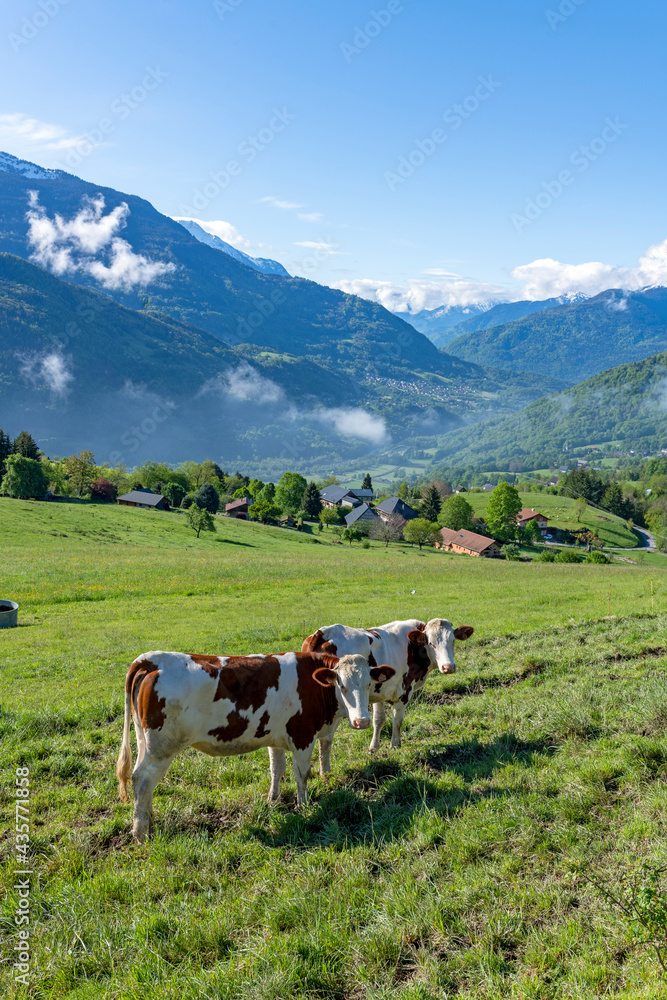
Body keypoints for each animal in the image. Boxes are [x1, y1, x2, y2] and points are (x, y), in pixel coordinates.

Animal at [117, 652, 394, 840]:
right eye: (342, 685)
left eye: (369, 684)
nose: (361, 721)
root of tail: (153, 659)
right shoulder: (303, 736)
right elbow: (302, 774)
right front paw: (304, 806)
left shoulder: (276, 737)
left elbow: (277, 769)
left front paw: (273, 801)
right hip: (161, 750)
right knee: (142, 780)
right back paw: (141, 833)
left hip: (145, 743)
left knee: (143, 781)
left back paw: (150, 822)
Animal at [302, 612, 474, 768]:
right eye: (431, 643)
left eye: (453, 641)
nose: (448, 667)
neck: (412, 647)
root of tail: (322, 632)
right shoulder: (404, 691)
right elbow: (397, 720)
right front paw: (395, 745)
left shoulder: (379, 691)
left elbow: (378, 720)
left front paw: (374, 748)